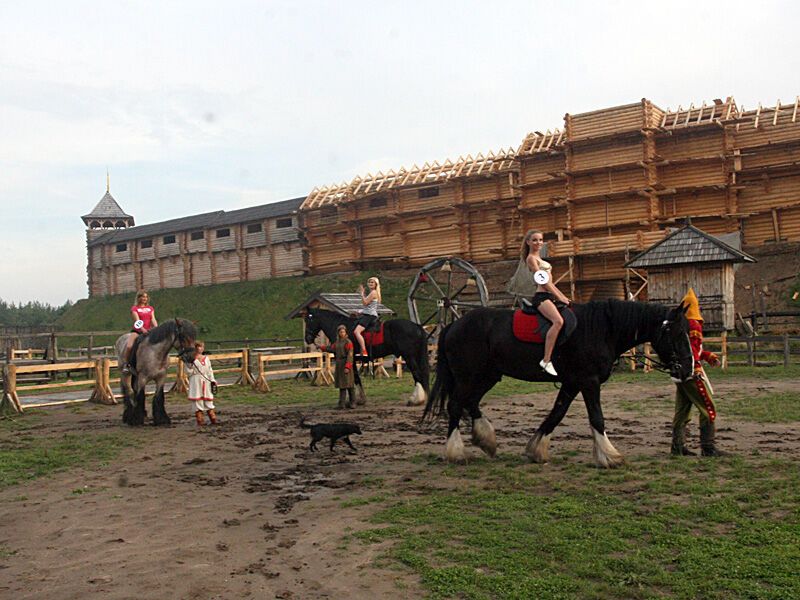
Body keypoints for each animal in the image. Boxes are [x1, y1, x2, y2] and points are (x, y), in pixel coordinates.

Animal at [304, 312, 432, 406]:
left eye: (309, 320)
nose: (307, 338)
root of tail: (417, 326)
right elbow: (356, 378)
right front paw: (360, 399)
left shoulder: (351, 360)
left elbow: (355, 378)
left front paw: (357, 399)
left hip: (409, 357)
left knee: (417, 374)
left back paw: (415, 400)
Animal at [424, 300, 692, 468]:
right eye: (679, 334)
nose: (688, 369)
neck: (602, 329)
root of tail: (453, 325)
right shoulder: (589, 381)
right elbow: (597, 418)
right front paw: (610, 456)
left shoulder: (572, 383)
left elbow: (556, 414)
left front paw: (536, 450)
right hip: (468, 376)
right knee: (456, 405)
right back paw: (456, 452)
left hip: (488, 376)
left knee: (471, 402)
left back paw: (486, 441)